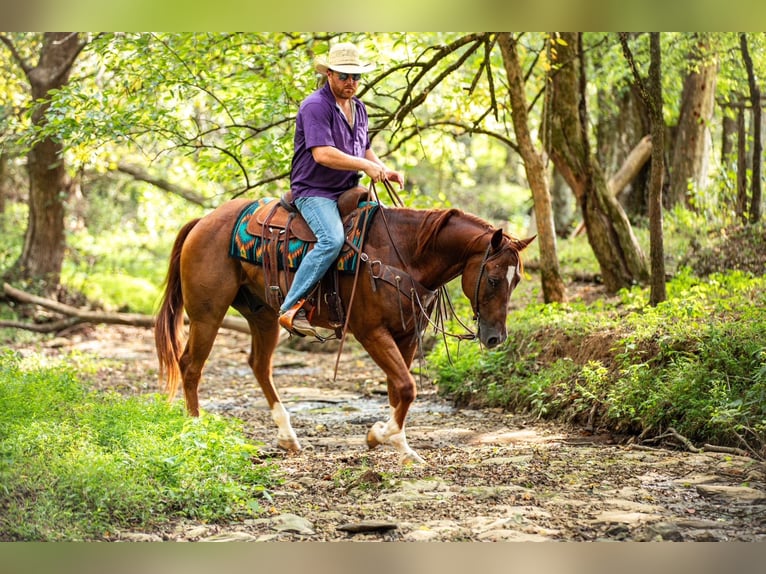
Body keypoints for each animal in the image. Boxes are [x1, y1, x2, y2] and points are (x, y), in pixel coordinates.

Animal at [154, 194, 534, 464]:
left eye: (516, 281)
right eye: (494, 279)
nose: (495, 338)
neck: (404, 254)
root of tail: (203, 221)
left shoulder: (407, 335)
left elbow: (398, 390)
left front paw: (399, 446)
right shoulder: (370, 332)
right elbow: (407, 387)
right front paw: (381, 437)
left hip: (263, 315)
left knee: (259, 366)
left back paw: (288, 437)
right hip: (208, 314)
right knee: (191, 366)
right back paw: (196, 430)